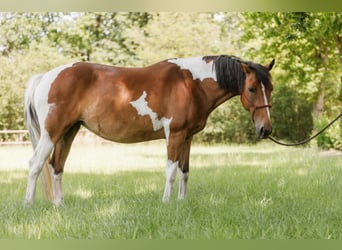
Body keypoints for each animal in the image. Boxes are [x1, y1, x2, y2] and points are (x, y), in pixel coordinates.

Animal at [24, 54, 276, 205]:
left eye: (270, 88)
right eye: (252, 89)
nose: (266, 129)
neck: (190, 84)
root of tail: (45, 77)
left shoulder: (187, 137)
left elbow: (184, 171)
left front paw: (181, 203)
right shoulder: (174, 134)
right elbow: (171, 171)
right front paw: (166, 202)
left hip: (68, 133)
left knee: (56, 167)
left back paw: (59, 205)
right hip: (51, 134)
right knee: (36, 164)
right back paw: (29, 204)